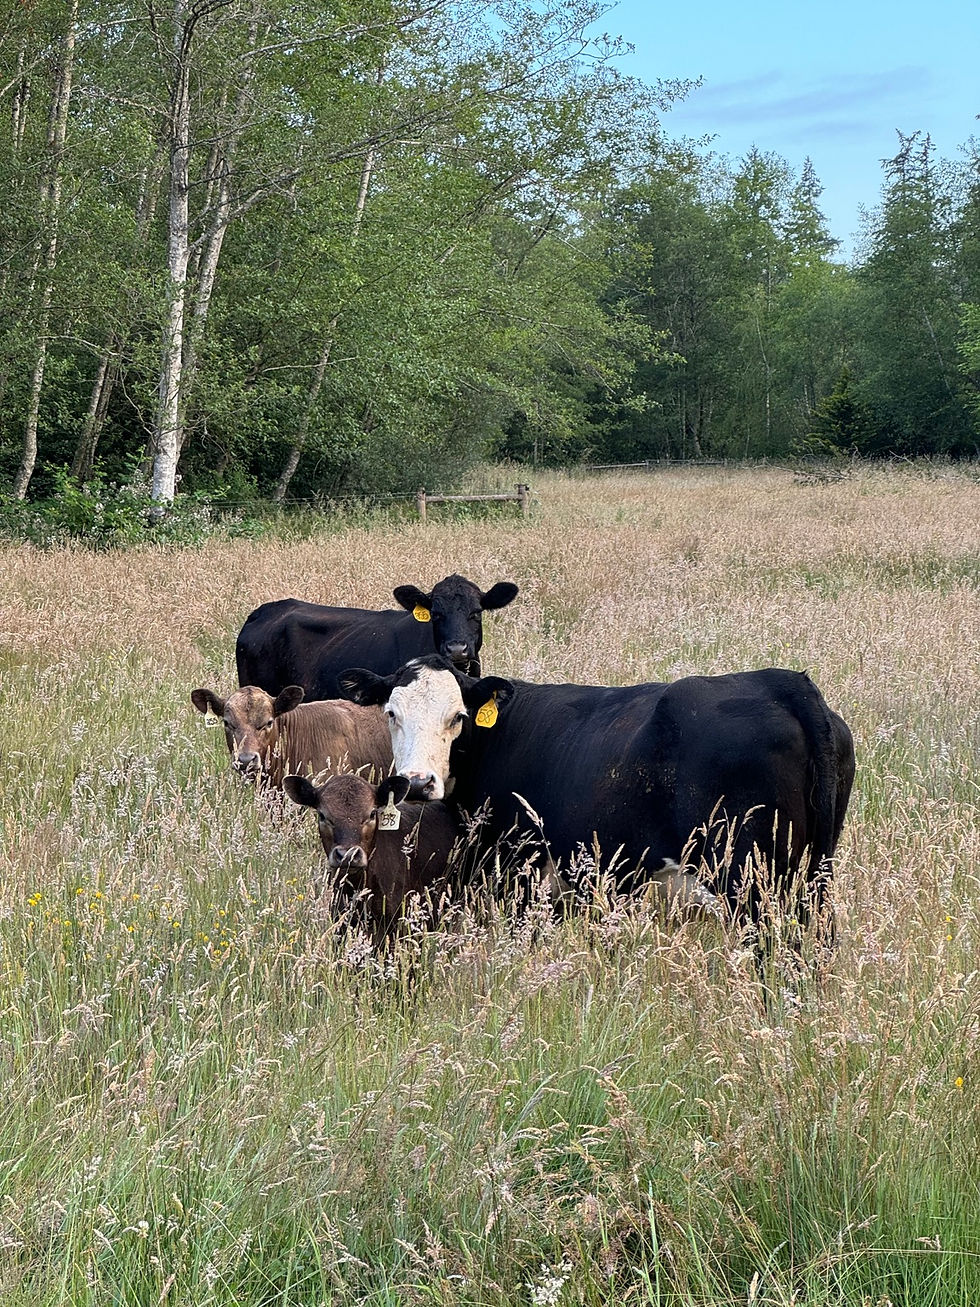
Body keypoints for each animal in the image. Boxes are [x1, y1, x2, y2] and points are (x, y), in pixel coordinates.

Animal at [337, 656, 855, 933]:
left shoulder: (519, 869)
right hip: (814, 874)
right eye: (391, 713)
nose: (417, 782)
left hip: (755, 881)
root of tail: (783, 682)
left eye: (458, 716)